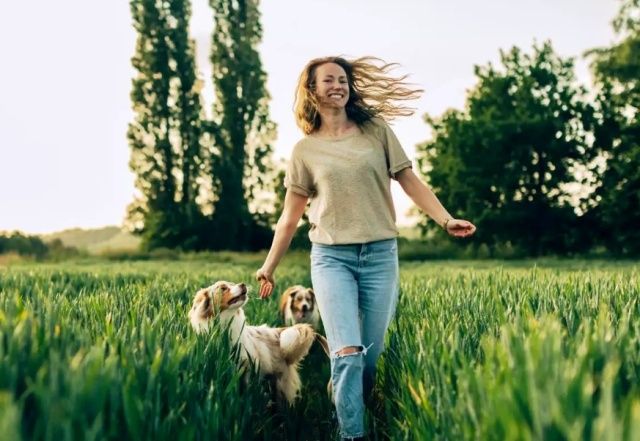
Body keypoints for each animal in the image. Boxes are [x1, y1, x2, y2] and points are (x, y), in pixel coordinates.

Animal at [188, 280, 328, 404]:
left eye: (232, 284)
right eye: (223, 288)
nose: (243, 284)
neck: (226, 323)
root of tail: (277, 332)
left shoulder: (245, 366)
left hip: (281, 382)